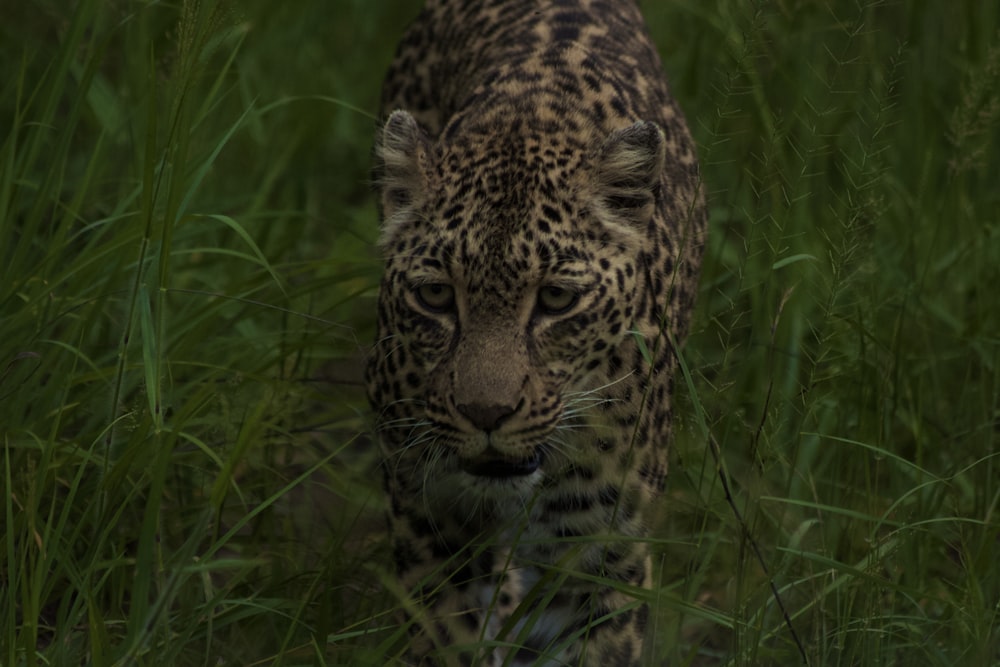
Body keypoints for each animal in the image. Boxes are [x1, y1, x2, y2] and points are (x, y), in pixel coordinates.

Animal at [366, 2, 704, 664]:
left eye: (555, 299)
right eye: (436, 295)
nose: (486, 414)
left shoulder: (600, 554)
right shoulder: (430, 518)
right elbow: (448, 635)